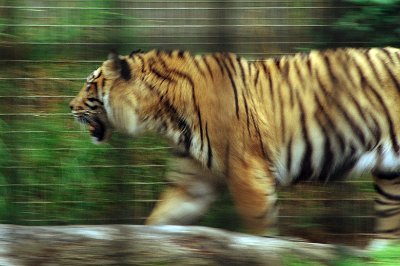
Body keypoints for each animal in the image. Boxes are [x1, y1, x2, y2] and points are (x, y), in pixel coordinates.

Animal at [69, 46, 400, 242]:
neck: (163, 118)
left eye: (89, 84)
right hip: (390, 179)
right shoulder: (191, 185)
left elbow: (260, 233)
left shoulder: (249, 175)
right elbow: (160, 221)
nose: (69, 107)